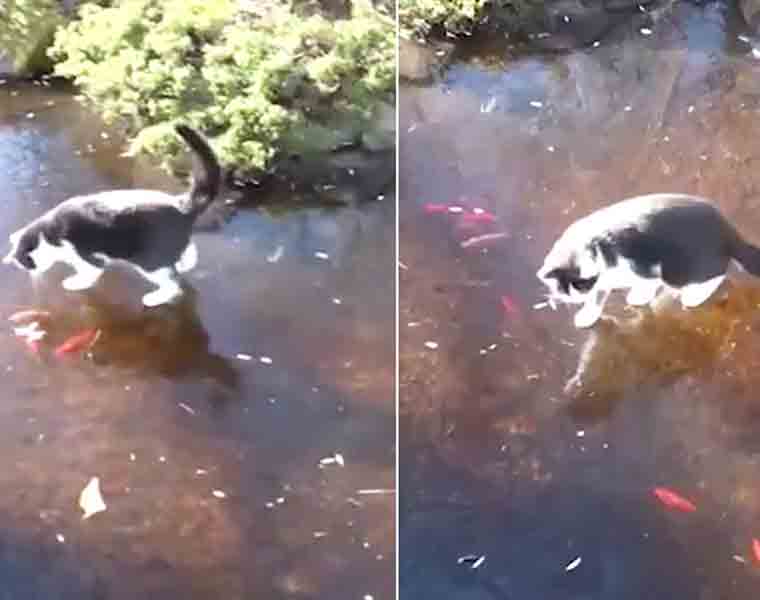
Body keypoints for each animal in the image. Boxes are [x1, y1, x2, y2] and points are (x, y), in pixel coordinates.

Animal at [2, 123, 221, 308]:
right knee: (189, 253)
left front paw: (74, 283)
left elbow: (88, 273)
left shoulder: (88, 258)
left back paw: (155, 298)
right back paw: (183, 263)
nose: (32, 273)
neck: (46, 233)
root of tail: (182, 205)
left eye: (25, 263)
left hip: (149, 260)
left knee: (173, 283)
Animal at [536, 195, 760, 328]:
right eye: (565, 289)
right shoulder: (604, 280)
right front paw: (588, 315)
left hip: (680, 267)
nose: (578, 298)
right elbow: (597, 298)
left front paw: (638, 297)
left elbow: (646, 284)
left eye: (584, 285)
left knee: (717, 272)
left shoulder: (643, 265)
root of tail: (729, 232)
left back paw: (693, 296)